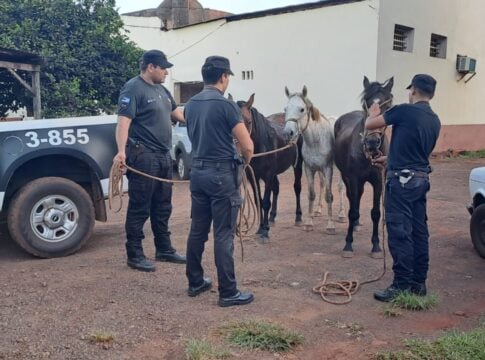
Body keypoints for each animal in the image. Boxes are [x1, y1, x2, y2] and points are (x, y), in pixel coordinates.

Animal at [235, 94, 302, 243]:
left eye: (249, 121)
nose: (240, 149)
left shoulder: (268, 174)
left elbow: (265, 202)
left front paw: (265, 232)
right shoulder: (253, 176)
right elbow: (258, 201)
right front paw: (261, 228)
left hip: (297, 164)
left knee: (297, 188)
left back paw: (298, 217)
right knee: (276, 188)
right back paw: (272, 217)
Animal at [282, 85, 342, 233]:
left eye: (302, 109)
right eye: (285, 109)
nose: (287, 133)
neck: (316, 139)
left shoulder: (328, 168)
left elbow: (329, 195)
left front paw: (330, 225)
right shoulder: (309, 169)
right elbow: (311, 194)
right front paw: (309, 222)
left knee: (340, 187)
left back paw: (341, 214)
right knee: (321, 184)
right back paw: (318, 210)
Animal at [332, 76, 394, 258]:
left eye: (387, 106)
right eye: (366, 103)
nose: (372, 142)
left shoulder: (378, 181)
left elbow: (376, 213)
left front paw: (376, 246)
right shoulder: (353, 178)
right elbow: (352, 210)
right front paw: (348, 245)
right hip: (346, 177)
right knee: (353, 199)